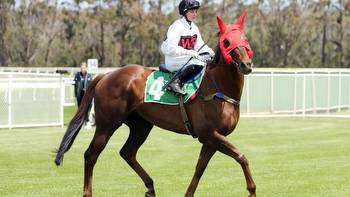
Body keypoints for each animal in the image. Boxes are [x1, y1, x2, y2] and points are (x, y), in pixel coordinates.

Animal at [56, 12, 256, 197]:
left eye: (245, 39)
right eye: (227, 41)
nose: (246, 65)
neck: (217, 87)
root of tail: (106, 75)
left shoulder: (211, 139)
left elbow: (200, 168)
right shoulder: (209, 134)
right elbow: (242, 157)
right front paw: (252, 190)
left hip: (141, 125)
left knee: (127, 152)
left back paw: (150, 186)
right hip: (107, 124)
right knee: (91, 155)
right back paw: (88, 192)